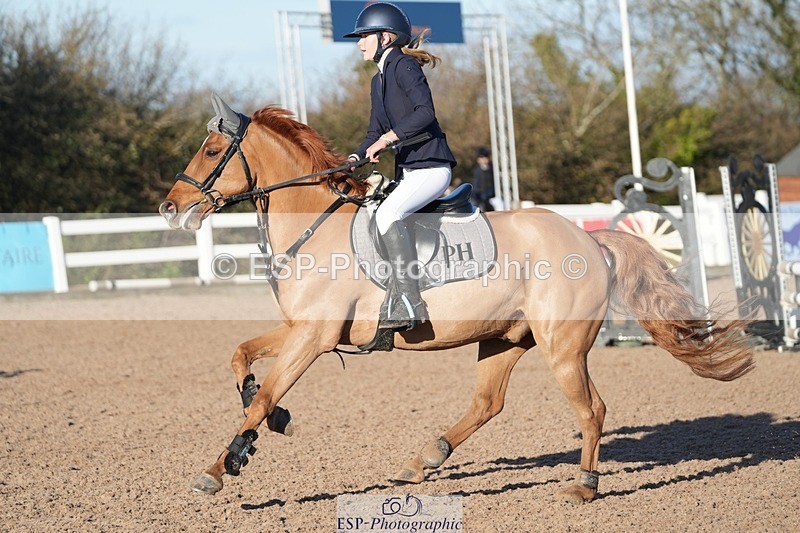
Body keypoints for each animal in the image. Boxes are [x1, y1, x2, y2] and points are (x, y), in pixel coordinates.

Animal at [159, 94, 754, 503]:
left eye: (212, 150)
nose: (169, 208)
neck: (315, 225)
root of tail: (589, 238)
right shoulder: (302, 329)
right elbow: (241, 360)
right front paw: (267, 425)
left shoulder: (314, 337)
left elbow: (261, 396)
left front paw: (221, 467)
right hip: (504, 339)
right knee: (488, 403)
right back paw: (425, 459)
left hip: (562, 349)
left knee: (592, 409)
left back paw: (584, 485)